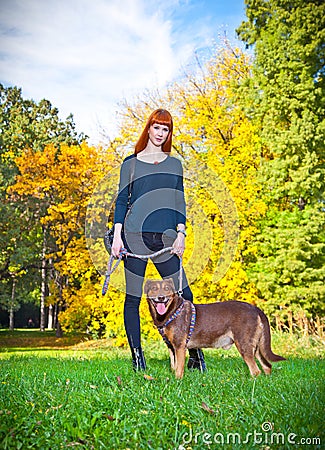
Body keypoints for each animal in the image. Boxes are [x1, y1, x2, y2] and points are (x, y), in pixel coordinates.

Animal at [144, 280, 284, 378]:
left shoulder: (179, 347)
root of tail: (255, 309)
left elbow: (179, 369)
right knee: (267, 366)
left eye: (167, 289)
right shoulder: (171, 347)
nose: (161, 297)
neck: (171, 311)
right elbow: (173, 366)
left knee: (256, 371)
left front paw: (178, 382)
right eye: (154, 288)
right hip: (256, 346)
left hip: (244, 344)